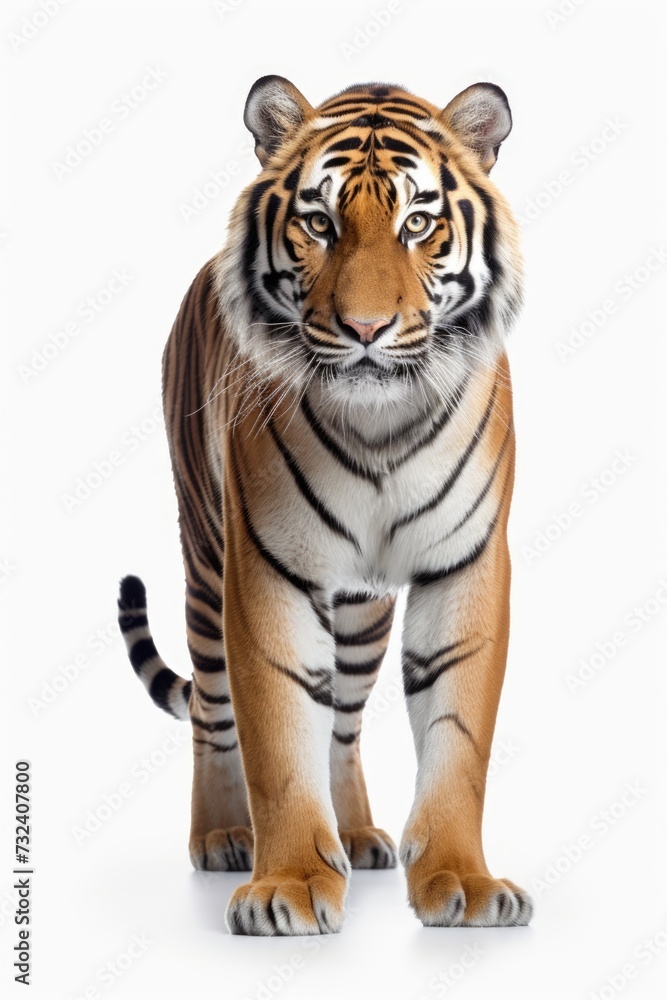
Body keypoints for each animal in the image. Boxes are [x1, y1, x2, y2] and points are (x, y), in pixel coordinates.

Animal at [116, 74, 532, 932]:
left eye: (417, 223)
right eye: (319, 223)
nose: (365, 328)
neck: (381, 425)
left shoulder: (466, 563)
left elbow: (457, 738)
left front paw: (463, 882)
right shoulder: (266, 570)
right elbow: (277, 734)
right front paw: (290, 885)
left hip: (364, 612)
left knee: (341, 719)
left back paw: (358, 834)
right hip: (204, 563)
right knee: (212, 709)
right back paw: (221, 837)